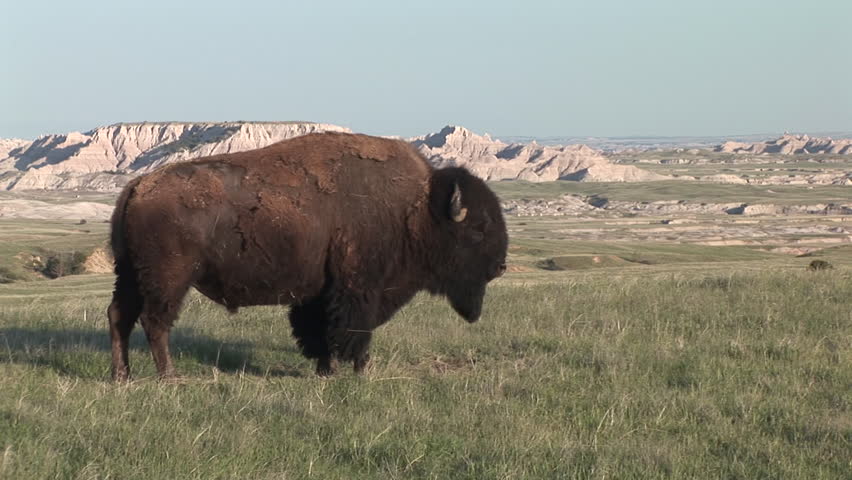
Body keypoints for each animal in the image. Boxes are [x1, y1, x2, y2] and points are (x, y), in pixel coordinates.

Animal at [107, 132, 508, 380]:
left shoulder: (320, 294)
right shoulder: (360, 290)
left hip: (129, 274)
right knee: (155, 322)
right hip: (170, 279)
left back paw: (122, 377)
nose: (500, 265)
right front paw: (360, 370)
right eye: (479, 229)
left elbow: (319, 332)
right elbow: (353, 332)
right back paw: (170, 377)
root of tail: (137, 186)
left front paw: (326, 371)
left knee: (119, 317)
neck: (418, 209)